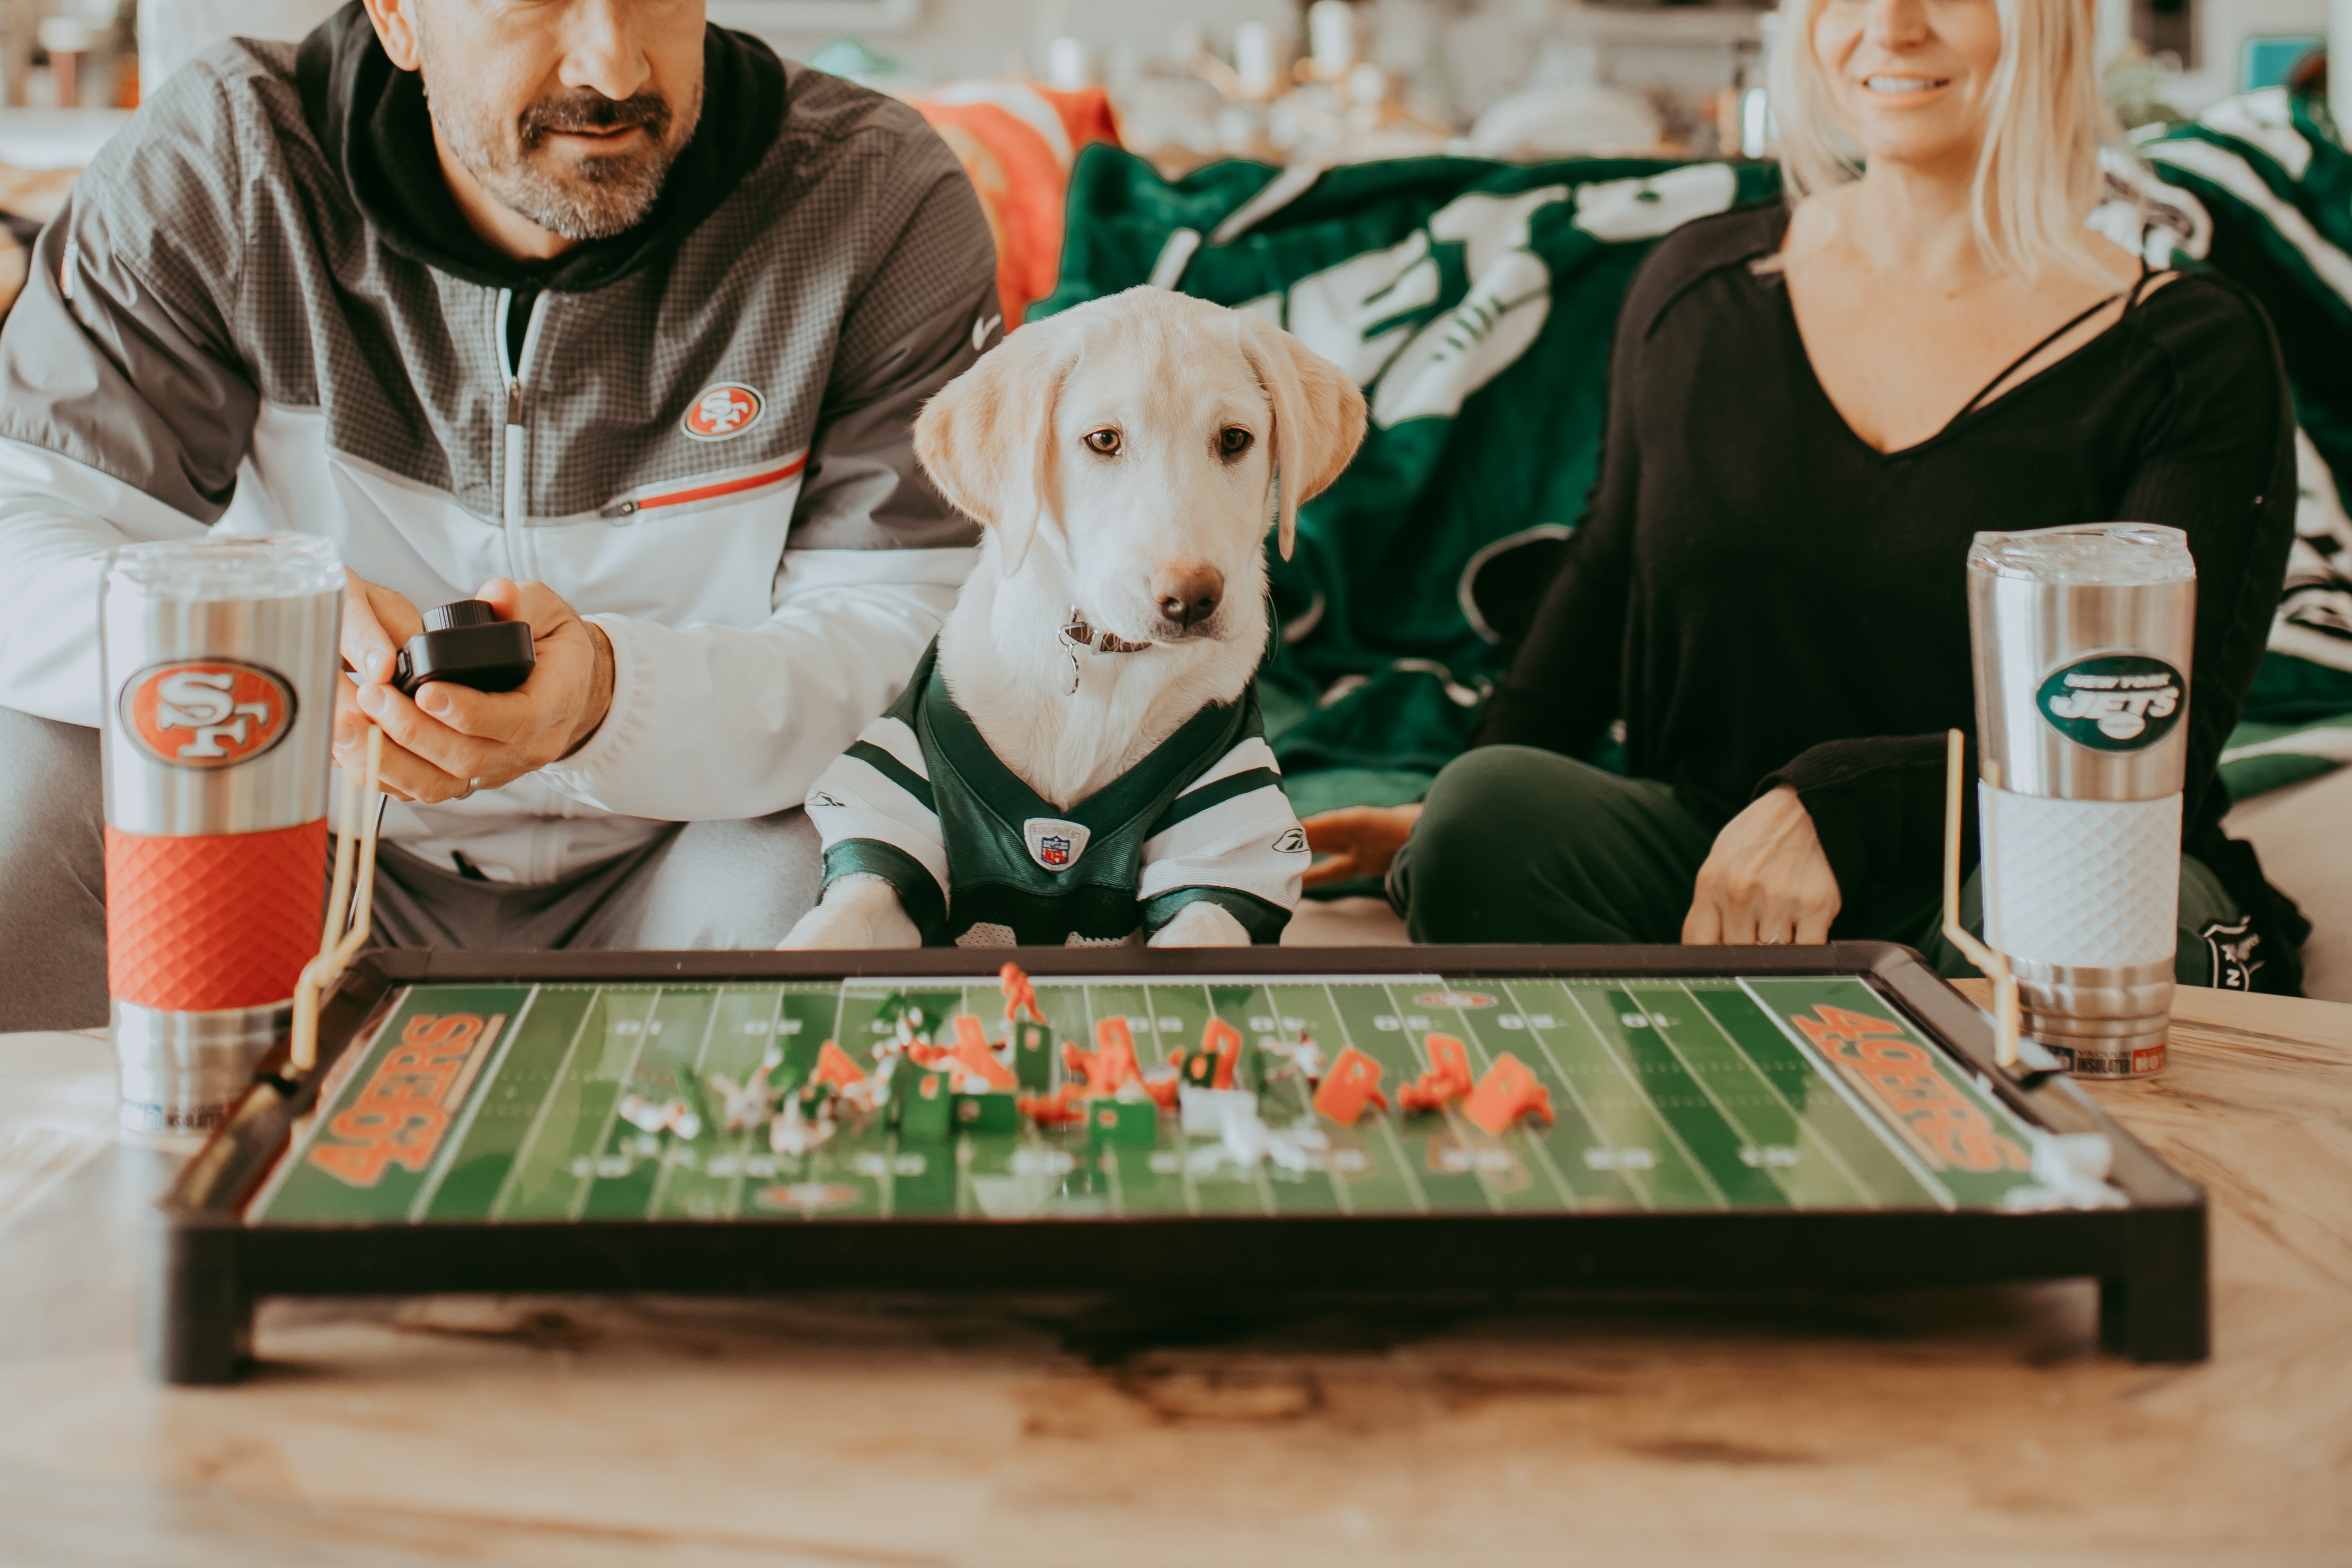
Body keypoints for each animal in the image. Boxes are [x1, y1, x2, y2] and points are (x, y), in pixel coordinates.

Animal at [776, 288, 1364, 950]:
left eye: (1235, 440)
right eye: (1103, 440)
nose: (1192, 600)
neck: (1101, 662)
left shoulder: (1224, 849)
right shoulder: (895, 821)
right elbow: (838, 923)